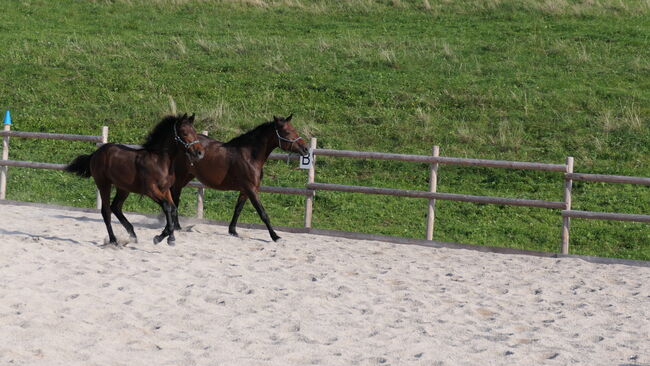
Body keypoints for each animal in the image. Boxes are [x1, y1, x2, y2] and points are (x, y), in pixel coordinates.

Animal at [65, 114, 202, 246]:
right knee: (106, 211)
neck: (159, 161)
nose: (199, 153)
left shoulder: (165, 189)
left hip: (123, 188)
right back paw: (113, 240)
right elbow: (167, 207)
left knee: (116, 207)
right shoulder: (151, 190)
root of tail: (96, 153)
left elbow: (173, 209)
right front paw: (163, 238)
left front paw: (167, 237)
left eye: (195, 131)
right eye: (184, 132)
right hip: (104, 184)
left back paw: (133, 235)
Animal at [170, 113, 306, 240]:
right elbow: (263, 213)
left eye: (295, 130)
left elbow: (238, 210)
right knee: (175, 197)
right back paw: (176, 226)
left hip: (187, 176)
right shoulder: (251, 189)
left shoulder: (245, 190)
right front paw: (275, 236)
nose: (305, 149)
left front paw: (233, 231)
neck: (249, 156)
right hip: (180, 177)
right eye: (287, 132)